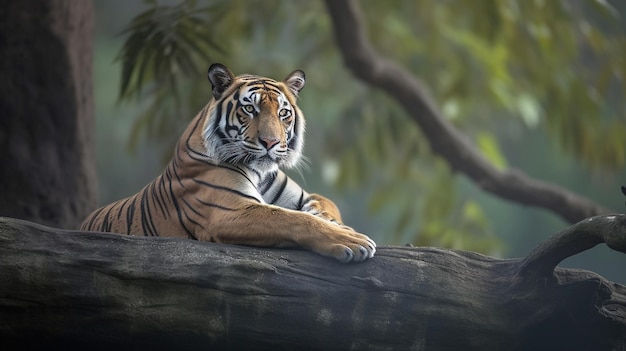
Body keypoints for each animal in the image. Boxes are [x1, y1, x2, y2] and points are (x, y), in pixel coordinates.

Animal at [81, 63, 376, 262]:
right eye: (250, 109)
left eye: (283, 113)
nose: (270, 142)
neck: (260, 171)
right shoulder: (230, 210)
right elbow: (292, 219)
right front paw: (351, 241)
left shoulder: (301, 196)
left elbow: (325, 205)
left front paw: (335, 222)